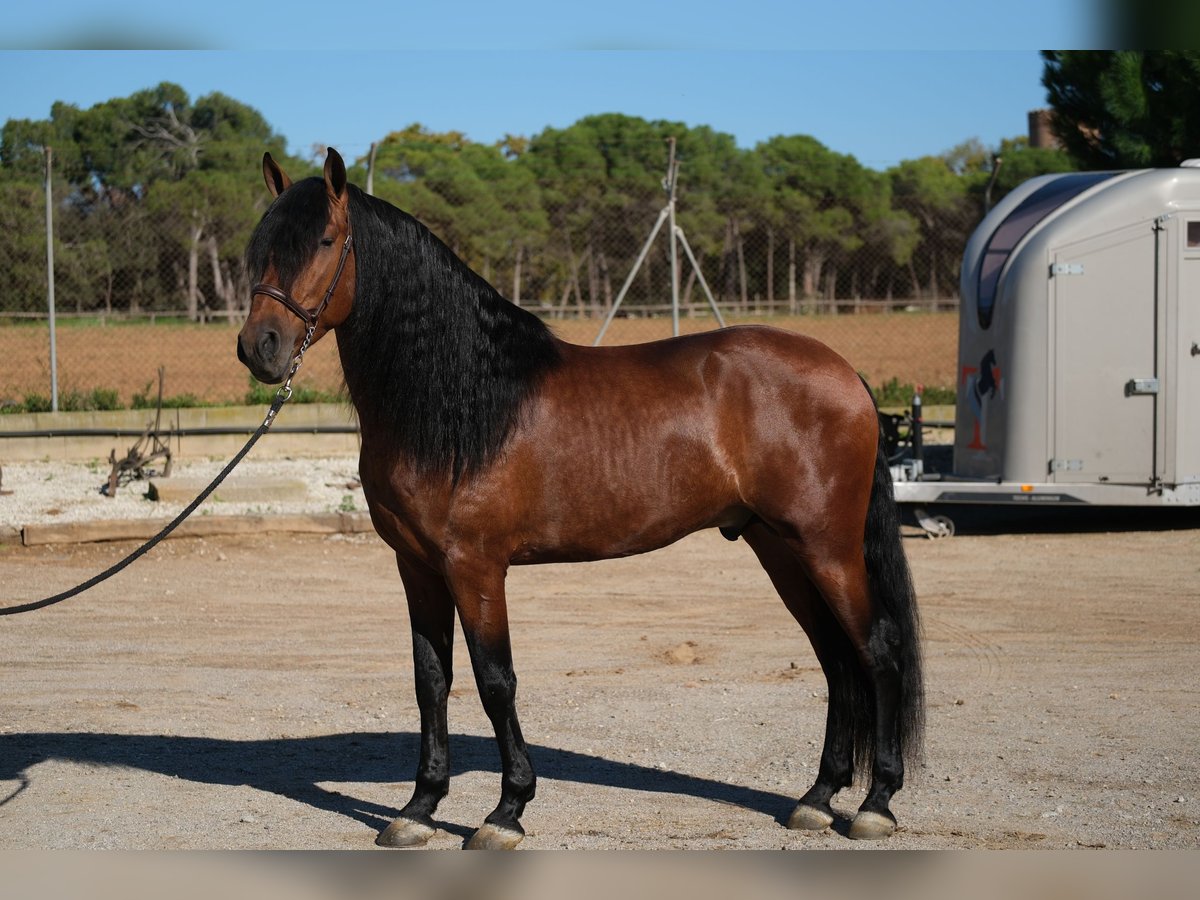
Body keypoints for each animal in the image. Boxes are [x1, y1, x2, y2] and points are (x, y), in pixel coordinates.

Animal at [238, 150, 921, 854]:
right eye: (261, 246)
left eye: (324, 241)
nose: (259, 347)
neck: (463, 401)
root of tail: (846, 374)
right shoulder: (417, 566)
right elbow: (433, 680)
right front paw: (419, 807)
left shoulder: (475, 567)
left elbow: (495, 680)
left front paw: (506, 810)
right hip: (779, 547)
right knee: (836, 657)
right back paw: (817, 798)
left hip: (827, 547)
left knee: (878, 648)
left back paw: (876, 804)